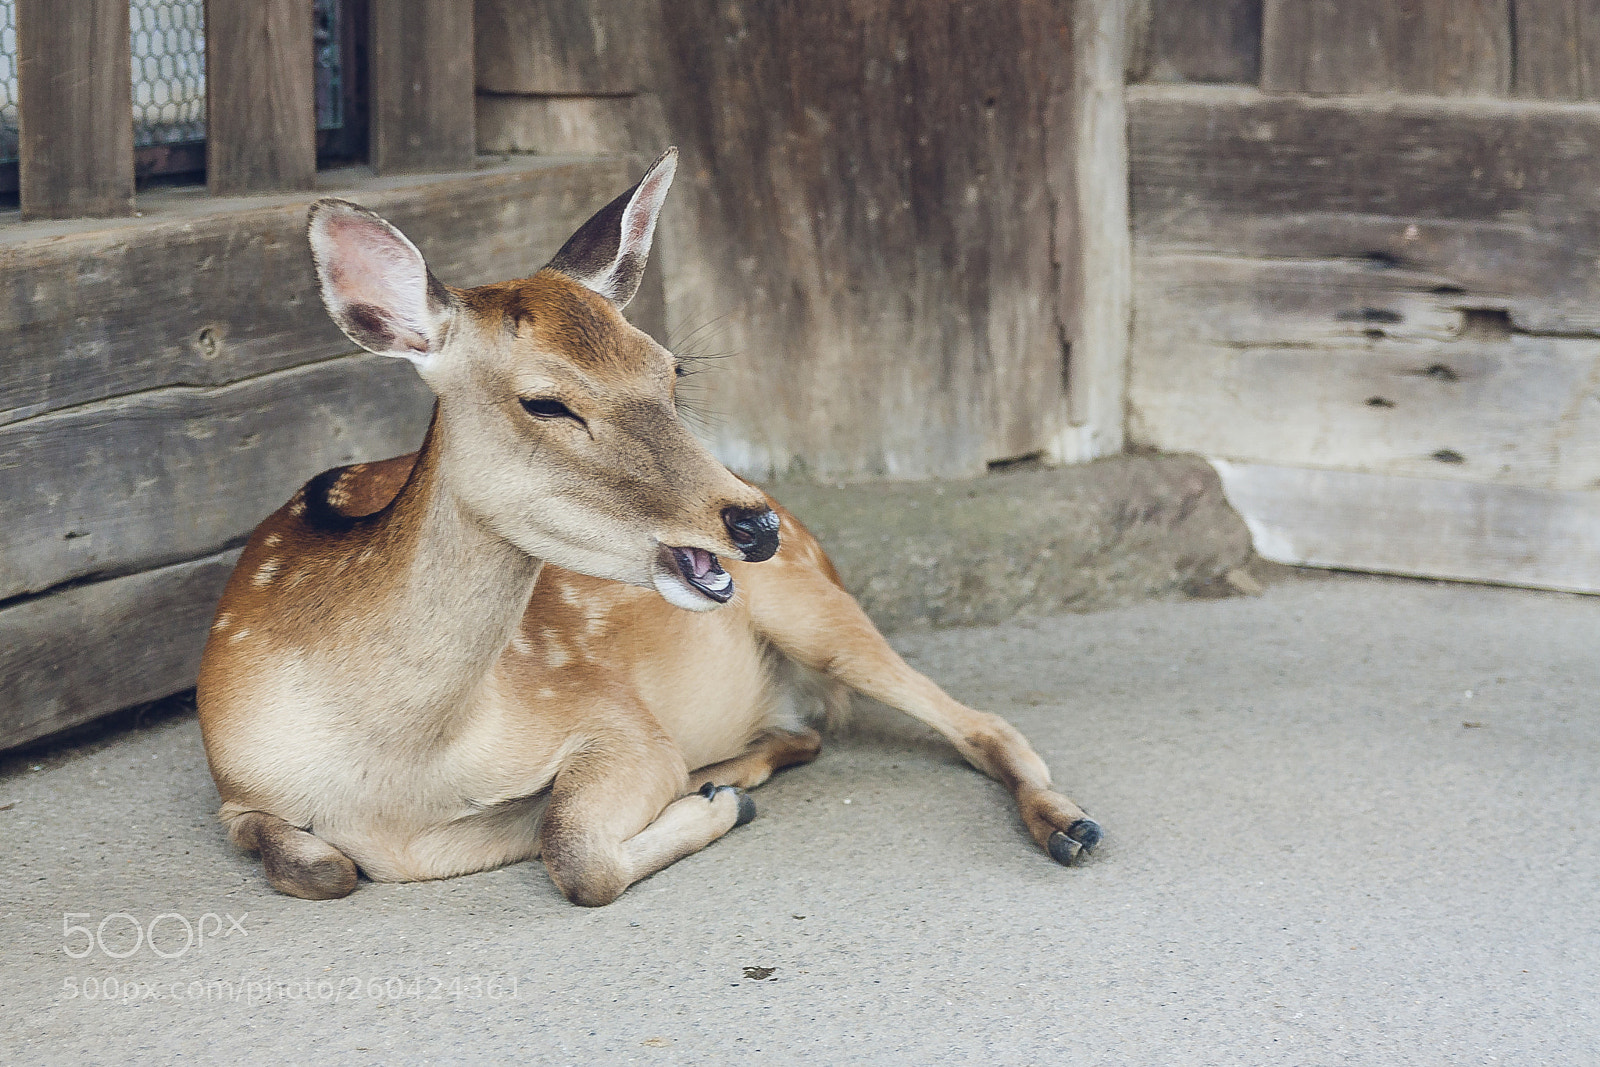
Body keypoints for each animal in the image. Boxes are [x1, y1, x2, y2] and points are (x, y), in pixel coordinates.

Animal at [195, 148, 1102, 906]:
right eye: (545, 401)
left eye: (672, 368)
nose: (753, 523)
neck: (398, 775)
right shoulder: (232, 786)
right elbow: (316, 864)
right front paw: (712, 799)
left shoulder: (619, 721)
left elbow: (575, 850)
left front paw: (705, 810)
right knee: (810, 733)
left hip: (817, 610)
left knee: (980, 722)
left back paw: (1070, 826)